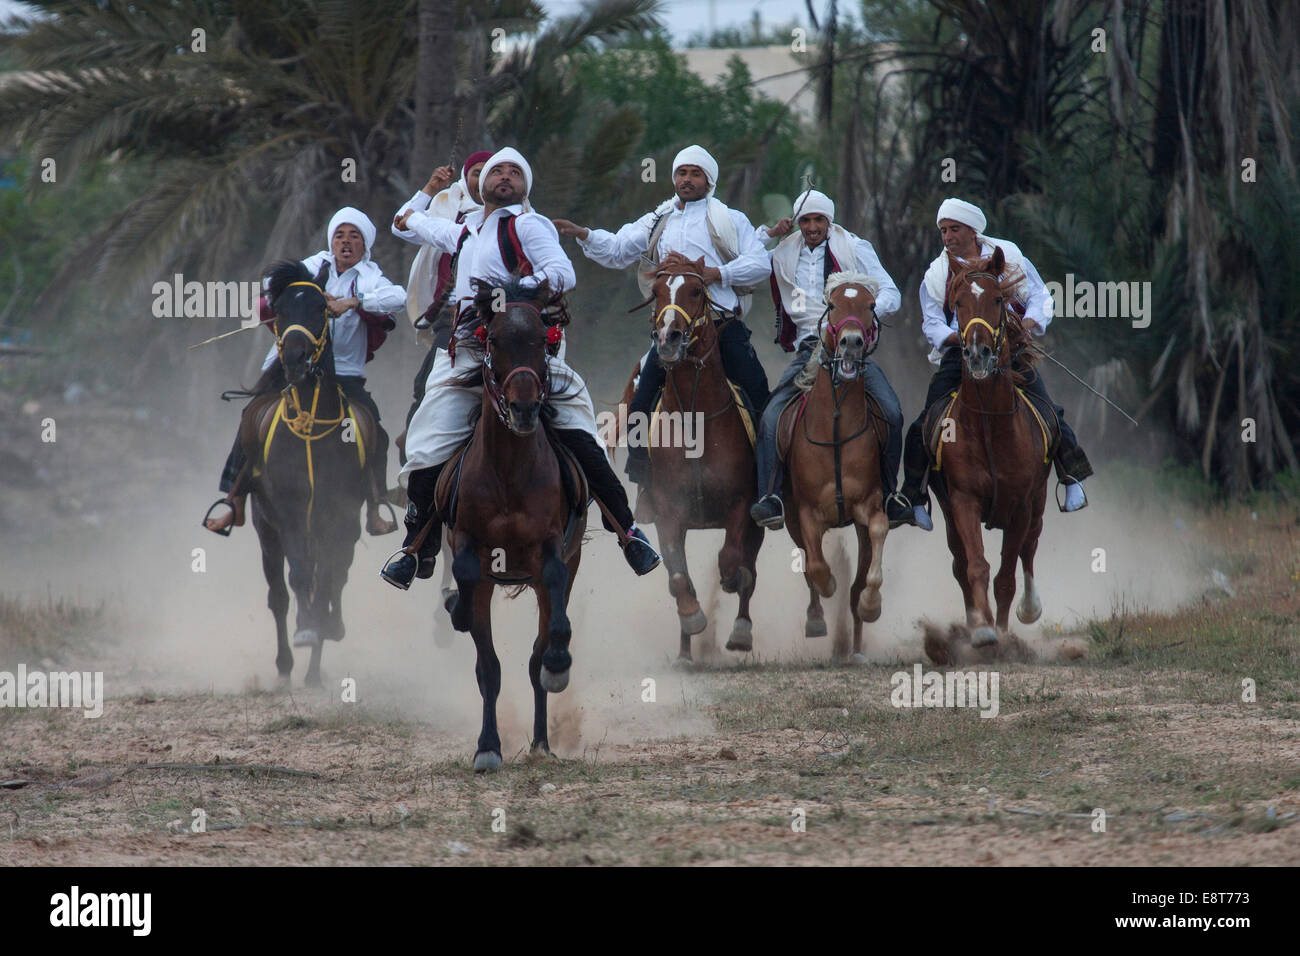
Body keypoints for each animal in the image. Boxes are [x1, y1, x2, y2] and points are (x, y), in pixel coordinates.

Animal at [236, 257, 379, 686]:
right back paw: (286, 664)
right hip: (266, 529)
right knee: (280, 595)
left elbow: (331, 578)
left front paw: (326, 627)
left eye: (321, 309)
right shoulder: (288, 512)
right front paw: (306, 631)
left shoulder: (341, 514)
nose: (296, 360)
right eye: (279, 310)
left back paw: (315, 665)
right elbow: (299, 579)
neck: (312, 429)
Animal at [441, 274, 585, 770]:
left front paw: (559, 664)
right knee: (490, 662)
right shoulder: (470, 547)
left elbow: (551, 626)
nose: (524, 409)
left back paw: (542, 740)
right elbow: (486, 659)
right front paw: (488, 746)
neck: (508, 470)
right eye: (496, 341)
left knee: (536, 658)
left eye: (543, 341)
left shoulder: (552, 552)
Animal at [631, 260, 764, 665]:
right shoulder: (668, 512)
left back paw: (741, 632)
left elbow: (733, 560)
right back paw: (686, 653)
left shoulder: (742, 504)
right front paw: (692, 619)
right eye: (657, 292)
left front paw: (731, 583)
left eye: (695, 291)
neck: (696, 419)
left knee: (749, 569)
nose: (668, 338)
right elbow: (678, 579)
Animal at [774, 273, 889, 660]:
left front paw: (871, 605)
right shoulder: (806, 513)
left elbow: (878, 535)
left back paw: (855, 646)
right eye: (833, 304)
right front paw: (827, 590)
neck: (836, 423)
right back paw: (817, 619)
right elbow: (816, 566)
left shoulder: (869, 504)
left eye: (870, 305)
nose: (851, 342)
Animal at [930, 248, 1050, 650]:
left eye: (998, 299)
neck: (989, 425)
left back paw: (1029, 608)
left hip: (1039, 503)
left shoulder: (1021, 505)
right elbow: (976, 565)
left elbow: (1007, 575)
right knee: (959, 563)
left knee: (1030, 548)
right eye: (957, 303)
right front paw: (982, 630)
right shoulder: (962, 500)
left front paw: (1001, 631)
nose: (978, 353)